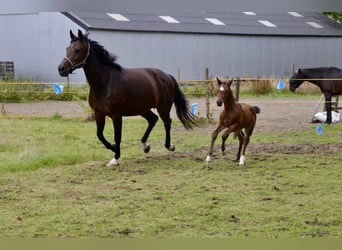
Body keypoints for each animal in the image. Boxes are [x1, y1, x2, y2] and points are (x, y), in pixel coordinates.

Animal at [57, 29, 196, 166]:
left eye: (78, 49)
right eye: (67, 48)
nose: (61, 69)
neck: (105, 82)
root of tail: (167, 76)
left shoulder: (116, 115)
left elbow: (117, 136)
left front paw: (115, 157)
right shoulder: (99, 113)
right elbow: (100, 135)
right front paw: (113, 148)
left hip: (163, 107)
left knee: (167, 122)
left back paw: (169, 146)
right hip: (143, 109)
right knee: (153, 120)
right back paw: (145, 146)